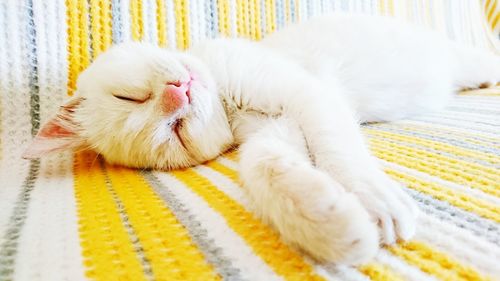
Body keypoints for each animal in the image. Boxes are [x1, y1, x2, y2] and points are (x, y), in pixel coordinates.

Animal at [23, 14, 500, 264]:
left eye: (129, 95)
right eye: (175, 133)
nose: (180, 93)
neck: (231, 106)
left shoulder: (306, 93)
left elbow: (337, 151)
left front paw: (372, 196)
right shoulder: (275, 129)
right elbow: (261, 163)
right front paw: (330, 223)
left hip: (458, 56)